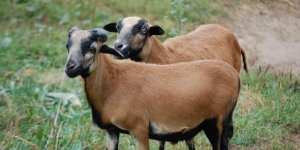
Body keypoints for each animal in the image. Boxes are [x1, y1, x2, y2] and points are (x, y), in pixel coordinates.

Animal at [64, 27, 240, 150]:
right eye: (68, 46)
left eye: (92, 48)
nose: (69, 68)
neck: (112, 83)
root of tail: (235, 76)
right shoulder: (112, 131)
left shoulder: (139, 130)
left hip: (217, 122)